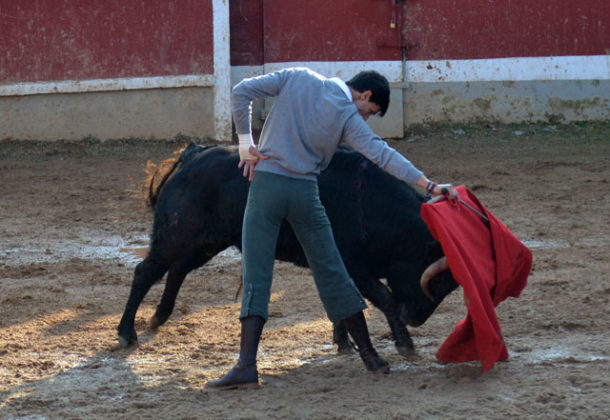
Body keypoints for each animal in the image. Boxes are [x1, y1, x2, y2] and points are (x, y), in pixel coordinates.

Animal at [117, 144, 456, 354]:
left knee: (177, 269)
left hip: (207, 242)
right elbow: (383, 298)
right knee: (146, 272)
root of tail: (193, 154)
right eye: (436, 280)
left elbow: (345, 300)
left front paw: (343, 343)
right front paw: (405, 345)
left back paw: (159, 316)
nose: (415, 319)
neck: (369, 204)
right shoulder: (353, 265)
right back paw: (125, 333)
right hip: (176, 234)